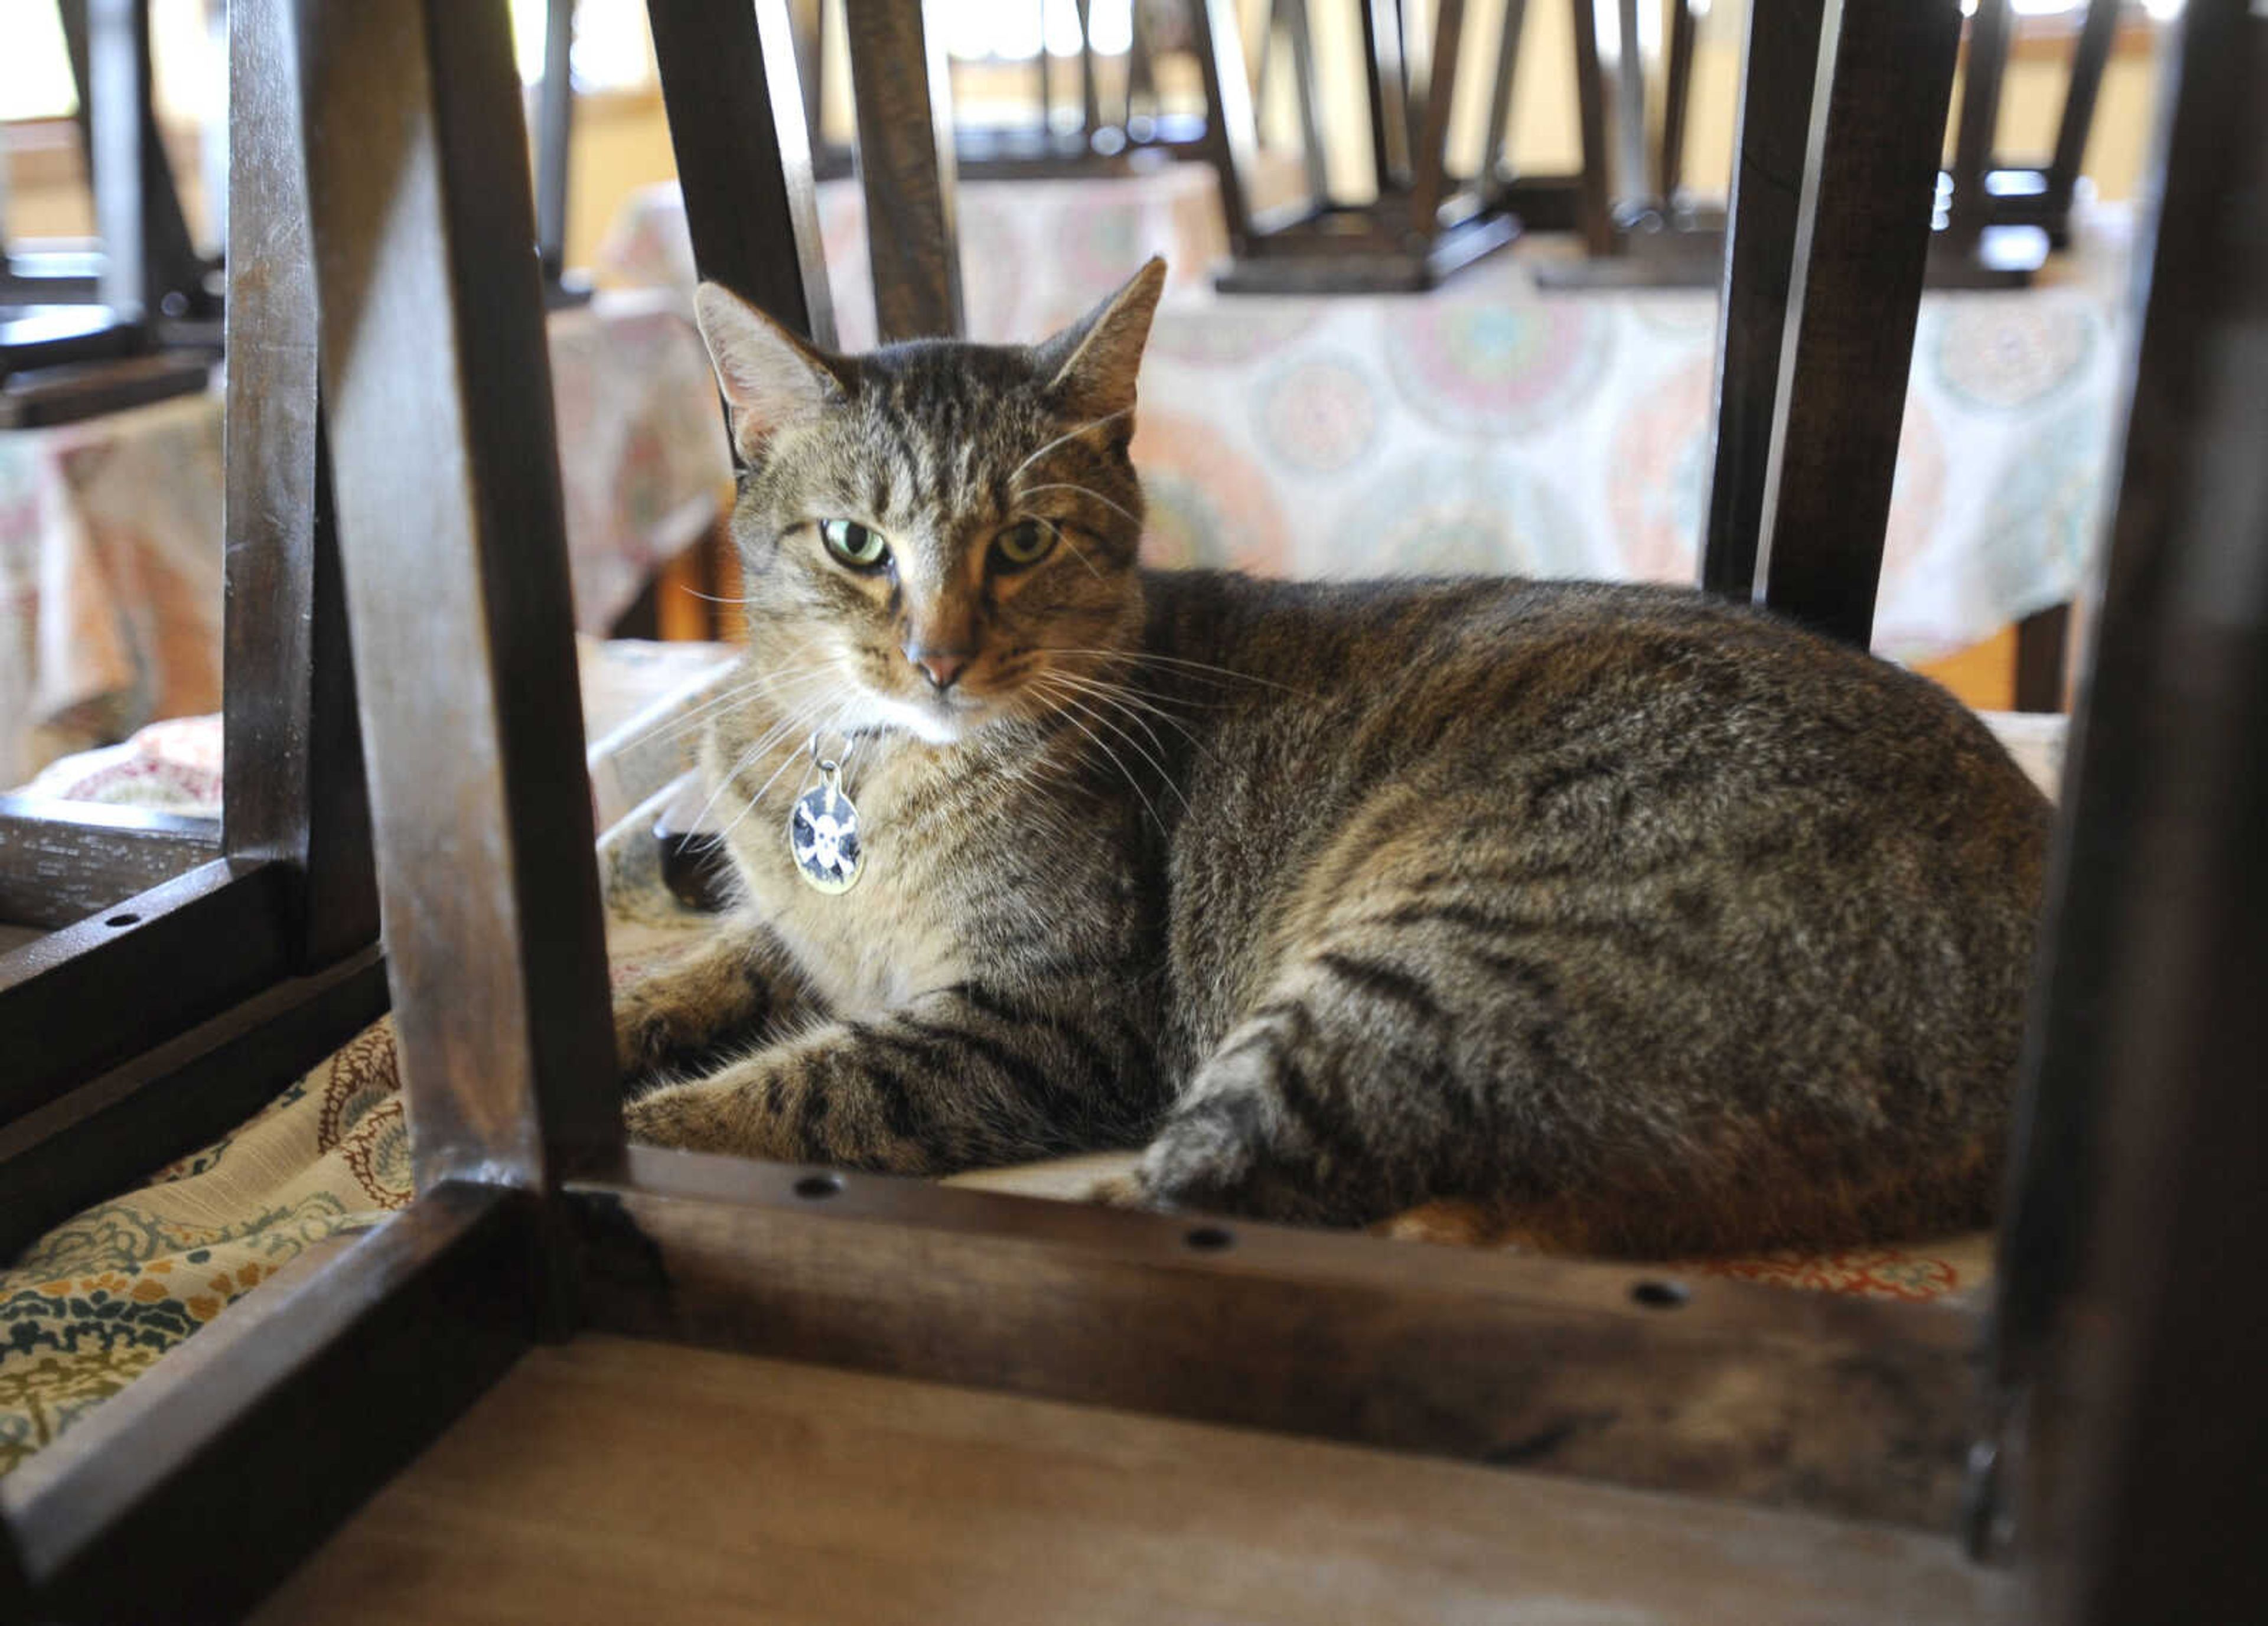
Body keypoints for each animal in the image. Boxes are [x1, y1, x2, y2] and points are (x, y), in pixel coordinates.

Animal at [621, 257, 2059, 1252]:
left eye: (1023, 541)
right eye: (855, 542)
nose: (938, 657)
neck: (855, 770)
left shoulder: (1053, 1013)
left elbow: (795, 1091)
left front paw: (631, 1124)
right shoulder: (803, 937)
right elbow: (711, 970)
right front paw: (622, 1021)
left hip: (1416, 972)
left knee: (1198, 1193)